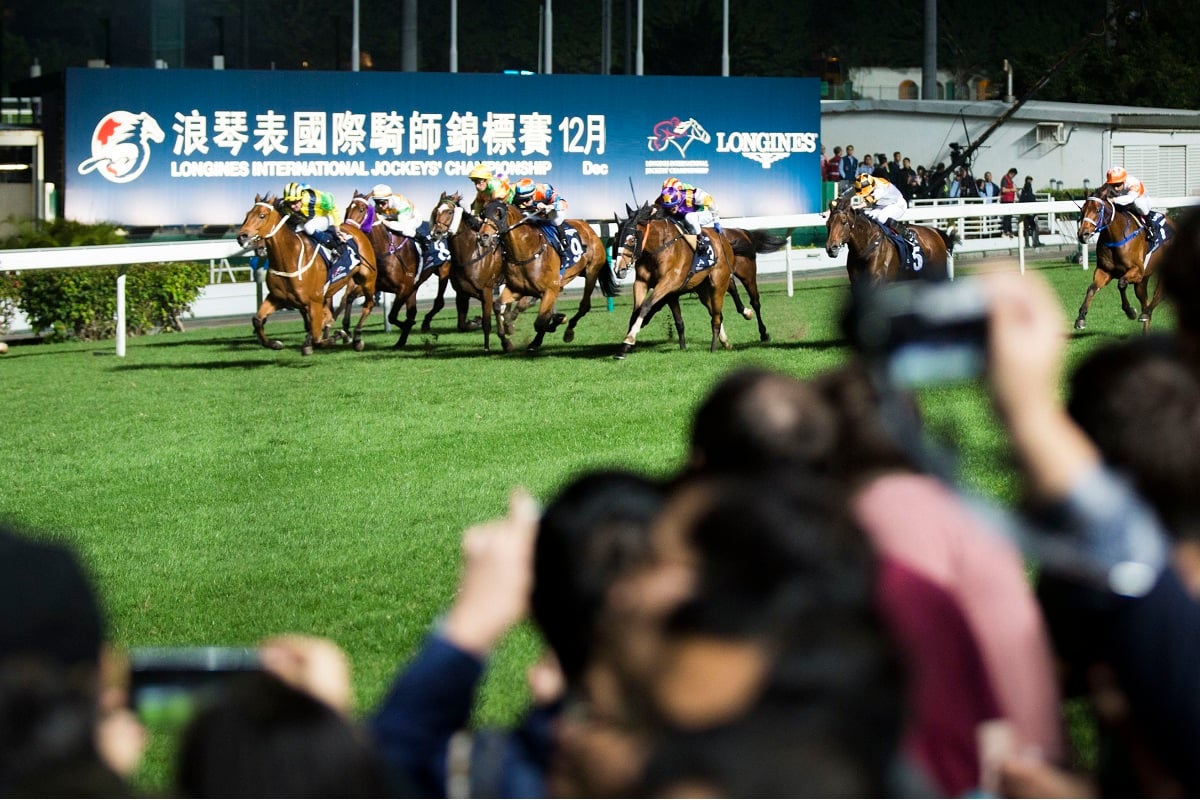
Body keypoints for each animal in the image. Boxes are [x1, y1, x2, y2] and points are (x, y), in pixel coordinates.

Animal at [234, 191, 364, 355]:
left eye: (262, 215)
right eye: (247, 214)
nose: (241, 236)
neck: (290, 258)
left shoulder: (314, 300)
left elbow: (317, 336)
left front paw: (337, 335)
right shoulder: (277, 297)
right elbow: (257, 320)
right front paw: (275, 343)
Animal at [480, 199, 619, 350]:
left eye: (498, 213)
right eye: (482, 214)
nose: (483, 236)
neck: (526, 252)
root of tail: (589, 229)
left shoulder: (550, 289)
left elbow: (540, 322)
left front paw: (554, 324)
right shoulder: (517, 289)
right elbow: (498, 306)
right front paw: (507, 339)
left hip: (591, 272)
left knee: (584, 305)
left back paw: (568, 331)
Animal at [614, 203, 734, 359]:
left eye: (631, 240)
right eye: (616, 237)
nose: (619, 269)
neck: (658, 247)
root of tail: (724, 240)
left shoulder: (668, 282)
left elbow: (646, 306)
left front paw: (629, 339)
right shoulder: (642, 283)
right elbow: (637, 311)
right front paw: (624, 347)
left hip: (718, 284)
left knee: (716, 316)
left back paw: (714, 346)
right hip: (703, 290)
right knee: (715, 312)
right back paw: (725, 342)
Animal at [825, 193, 955, 286]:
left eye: (843, 222)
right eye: (827, 224)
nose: (831, 248)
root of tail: (934, 231)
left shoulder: (877, 282)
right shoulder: (856, 284)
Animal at [1075, 191, 1166, 333]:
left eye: (1097, 210)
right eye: (1082, 210)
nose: (1082, 234)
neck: (1115, 237)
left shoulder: (1138, 271)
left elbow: (1121, 283)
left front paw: (1130, 311)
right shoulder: (1105, 271)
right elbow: (1092, 288)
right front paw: (1081, 318)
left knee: (1158, 294)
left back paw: (1146, 313)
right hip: (1142, 281)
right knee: (1145, 301)